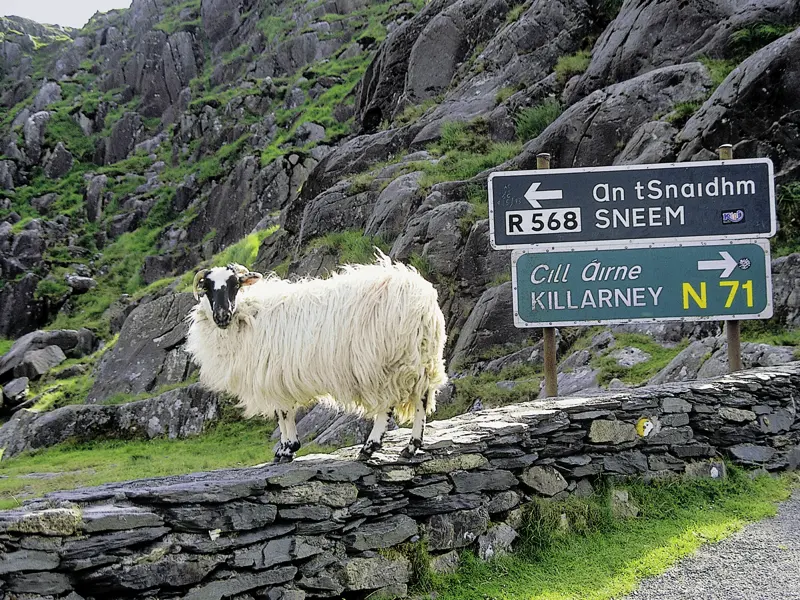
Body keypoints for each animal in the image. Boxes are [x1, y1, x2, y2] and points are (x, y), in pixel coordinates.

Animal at [185, 251, 450, 462]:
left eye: (235, 285)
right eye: (207, 288)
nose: (222, 316)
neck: (248, 315)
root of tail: (423, 300)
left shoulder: (273, 376)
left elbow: (283, 414)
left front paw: (287, 449)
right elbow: (284, 413)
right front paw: (287, 449)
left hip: (382, 360)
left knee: (388, 405)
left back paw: (371, 447)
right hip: (418, 357)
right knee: (422, 397)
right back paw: (411, 447)